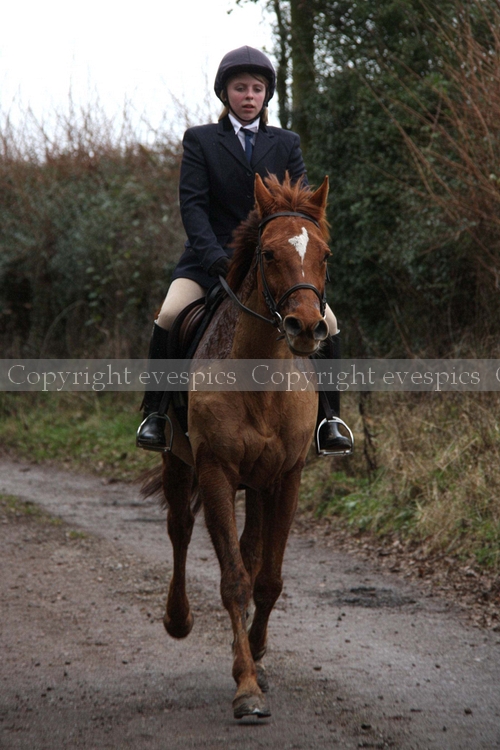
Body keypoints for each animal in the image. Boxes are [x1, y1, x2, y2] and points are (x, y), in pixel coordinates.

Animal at [143, 173, 331, 719]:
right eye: (268, 253)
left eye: (326, 254)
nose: (306, 328)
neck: (262, 379)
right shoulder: (216, 471)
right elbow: (232, 579)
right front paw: (247, 688)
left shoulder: (285, 477)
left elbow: (266, 579)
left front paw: (257, 659)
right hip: (178, 462)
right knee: (181, 531)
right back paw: (178, 619)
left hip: (259, 484)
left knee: (249, 552)